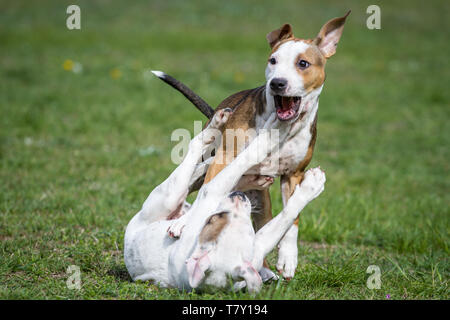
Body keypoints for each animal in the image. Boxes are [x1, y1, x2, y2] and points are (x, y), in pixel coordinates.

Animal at [124, 110, 326, 292]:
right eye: (214, 219)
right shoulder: (256, 242)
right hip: (170, 195)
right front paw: (311, 185)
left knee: (207, 170)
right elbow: (286, 213)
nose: (238, 197)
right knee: (201, 157)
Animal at [153, 11, 350, 278]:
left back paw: (264, 270)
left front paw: (288, 257)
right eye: (273, 60)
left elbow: (294, 217)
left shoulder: (293, 174)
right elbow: (207, 192)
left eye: (303, 64)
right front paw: (185, 222)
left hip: (261, 201)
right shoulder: (225, 157)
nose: (277, 83)